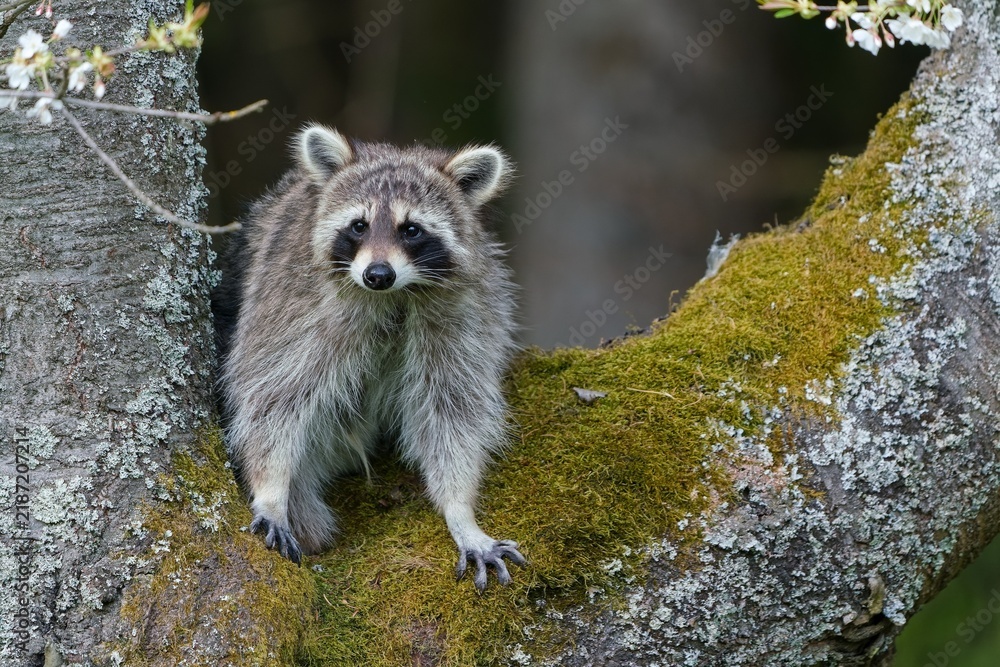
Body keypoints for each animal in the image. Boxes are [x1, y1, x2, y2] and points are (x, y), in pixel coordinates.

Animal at [213, 125, 525, 590]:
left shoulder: (462, 311)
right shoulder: (294, 298)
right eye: (359, 226)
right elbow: (272, 392)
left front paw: (460, 510)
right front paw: (270, 489)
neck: (395, 295)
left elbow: (454, 410)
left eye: (411, 229)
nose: (377, 275)